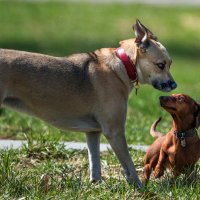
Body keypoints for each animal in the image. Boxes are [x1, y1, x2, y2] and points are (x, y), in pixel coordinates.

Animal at [0, 19, 176, 187]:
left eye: (170, 64)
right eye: (161, 65)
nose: (174, 85)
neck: (124, 65)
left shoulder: (93, 132)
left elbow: (95, 162)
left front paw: (96, 184)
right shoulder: (115, 131)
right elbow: (129, 165)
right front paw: (140, 187)